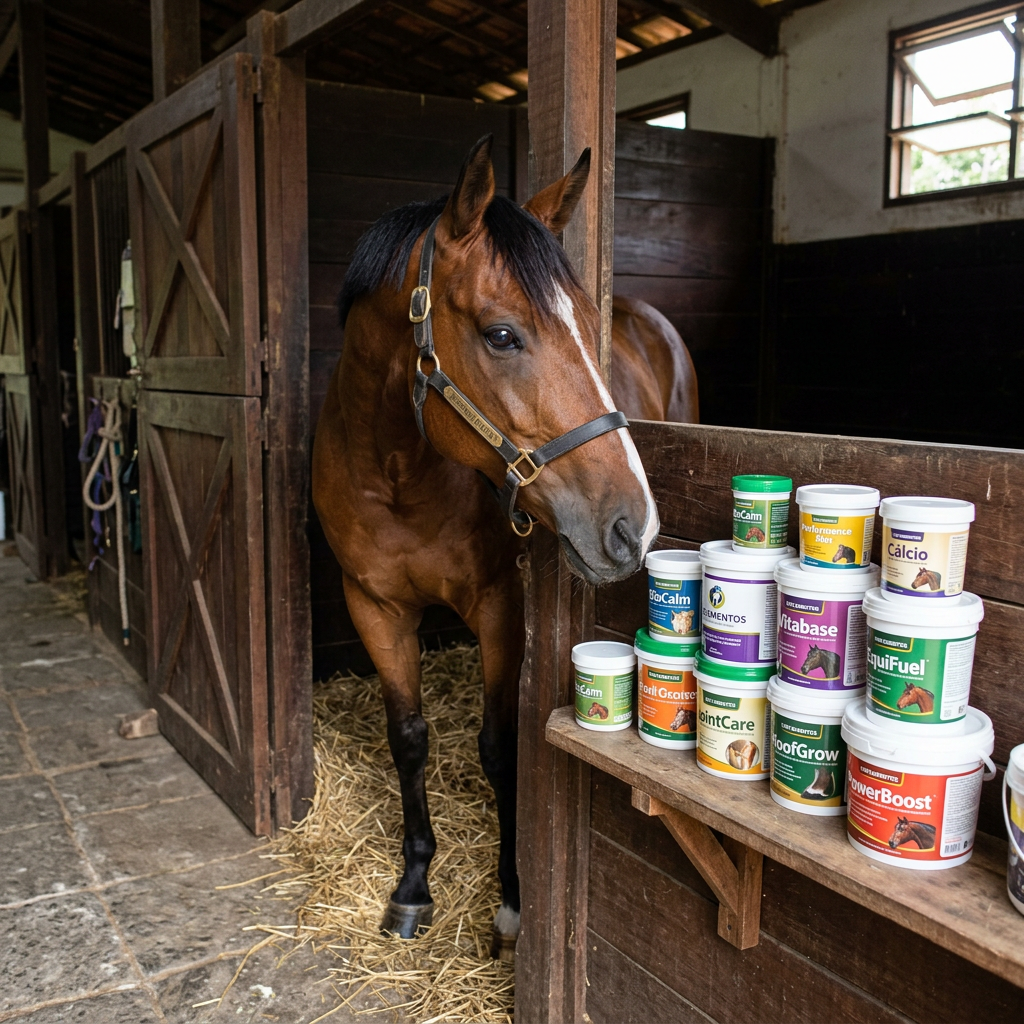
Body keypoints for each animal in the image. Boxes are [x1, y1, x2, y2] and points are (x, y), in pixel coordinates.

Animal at [312, 135, 696, 958]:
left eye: (588, 328)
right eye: (500, 334)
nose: (633, 526)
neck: (399, 473)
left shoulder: (498, 603)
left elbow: (500, 745)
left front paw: (515, 897)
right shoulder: (374, 607)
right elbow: (409, 738)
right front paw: (414, 885)